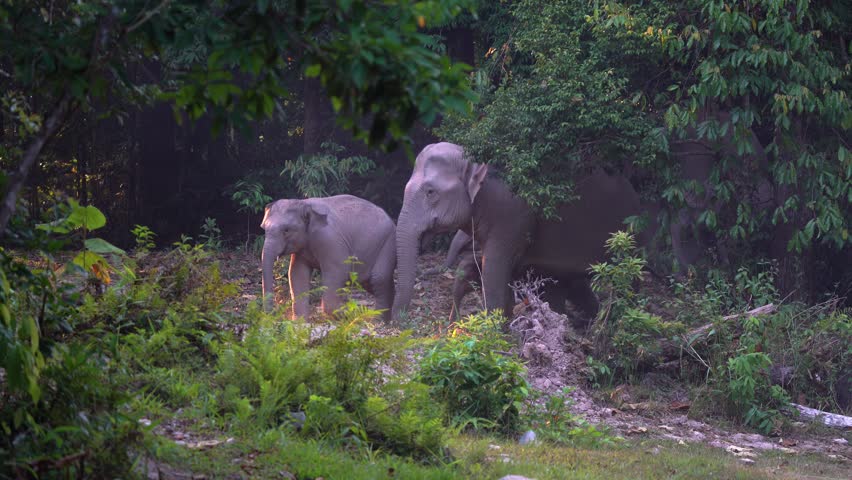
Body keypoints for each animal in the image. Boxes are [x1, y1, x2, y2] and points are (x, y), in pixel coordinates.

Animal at [261, 195, 396, 321]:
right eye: (263, 228)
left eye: (286, 230)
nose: (272, 314)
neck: (304, 203)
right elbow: (296, 273)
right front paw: (299, 322)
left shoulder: (330, 240)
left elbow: (338, 271)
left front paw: (351, 314)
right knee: (370, 282)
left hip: (387, 244)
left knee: (378, 279)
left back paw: (377, 321)